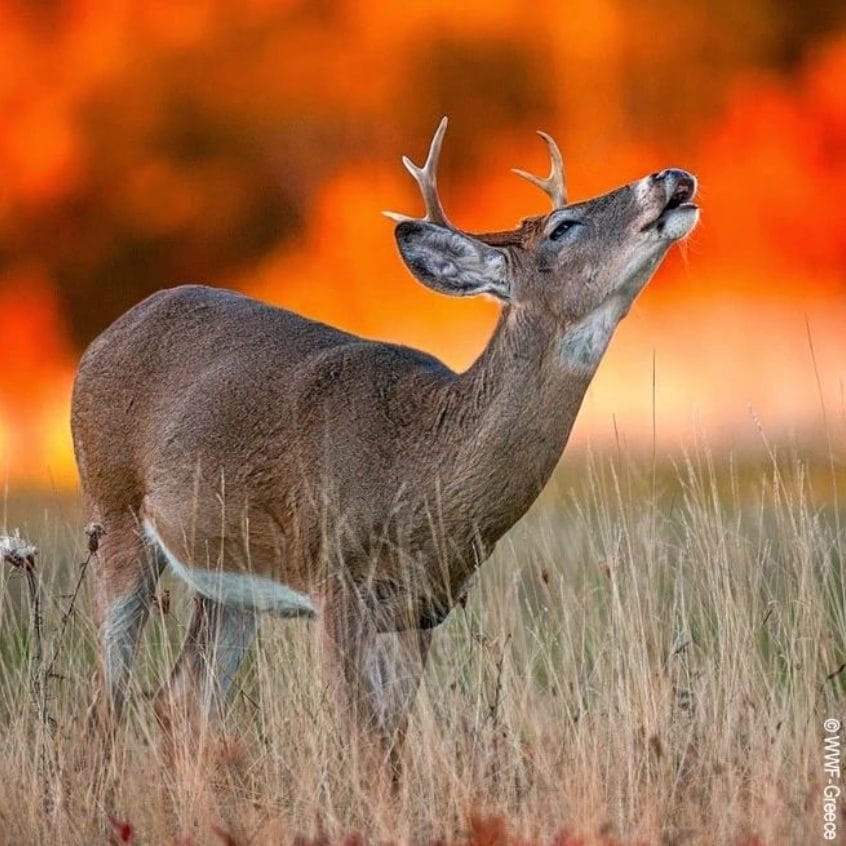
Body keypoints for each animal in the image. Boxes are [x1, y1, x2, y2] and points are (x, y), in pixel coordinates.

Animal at [71, 117, 696, 780]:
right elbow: (365, 745)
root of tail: (101, 340)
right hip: (114, 511)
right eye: (562, 227)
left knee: (182, 700)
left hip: (230, 577)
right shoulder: (336, 581)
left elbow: (391, 749)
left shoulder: (424, 608)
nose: (671, 177)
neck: (422, 470)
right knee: (106, 700)